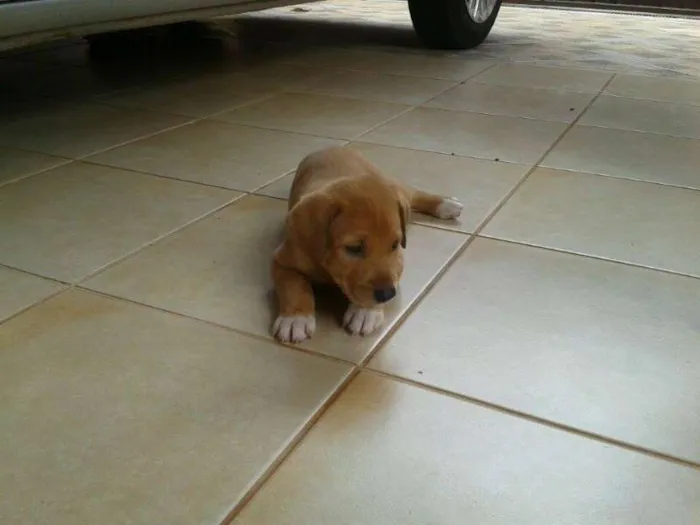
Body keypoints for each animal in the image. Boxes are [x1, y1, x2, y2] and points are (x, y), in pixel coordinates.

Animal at [270, 147, 462, 344]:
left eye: (394, 245)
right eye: (354, 248)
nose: (387, 295)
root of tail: (333, 147)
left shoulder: (397, 263)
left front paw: (365, 312)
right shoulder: (283, 260)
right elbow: (293, 286)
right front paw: (295, 318)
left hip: (394, 185)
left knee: (413, 193)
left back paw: (446, 204)